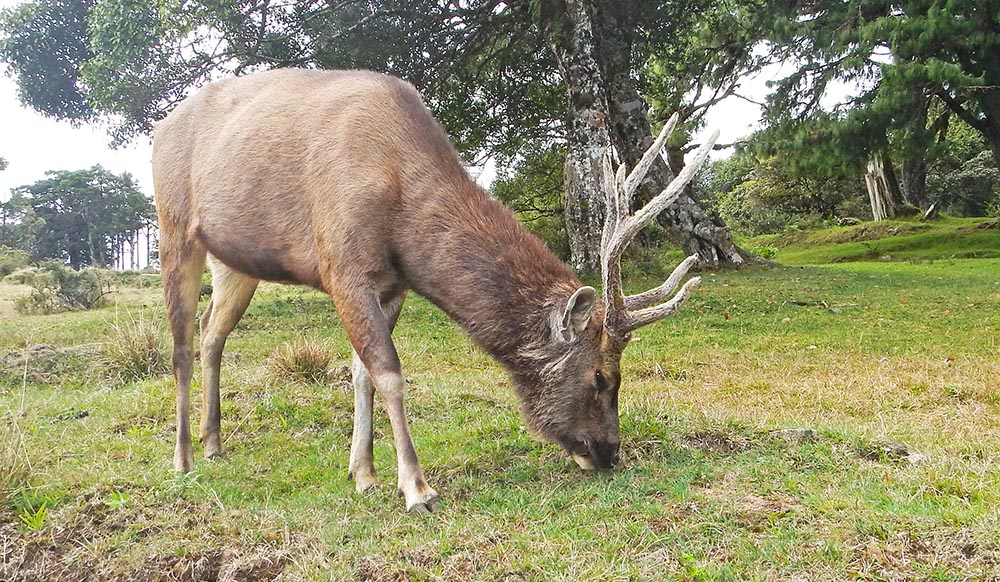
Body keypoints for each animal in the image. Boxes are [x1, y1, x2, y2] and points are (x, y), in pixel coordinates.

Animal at [154, 69, 720, 516]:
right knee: (180, 344)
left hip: (234, 262)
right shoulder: (342, 266)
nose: (609, 453)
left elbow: (361, 373)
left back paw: (214, 442)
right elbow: (389, 372)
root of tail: (158, 128)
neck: (403, 218)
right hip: (174, 225)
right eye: (601, 376)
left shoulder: (393, 284)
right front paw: (416, 489)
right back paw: (183, 458)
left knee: (211, 332)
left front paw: (363, 473)